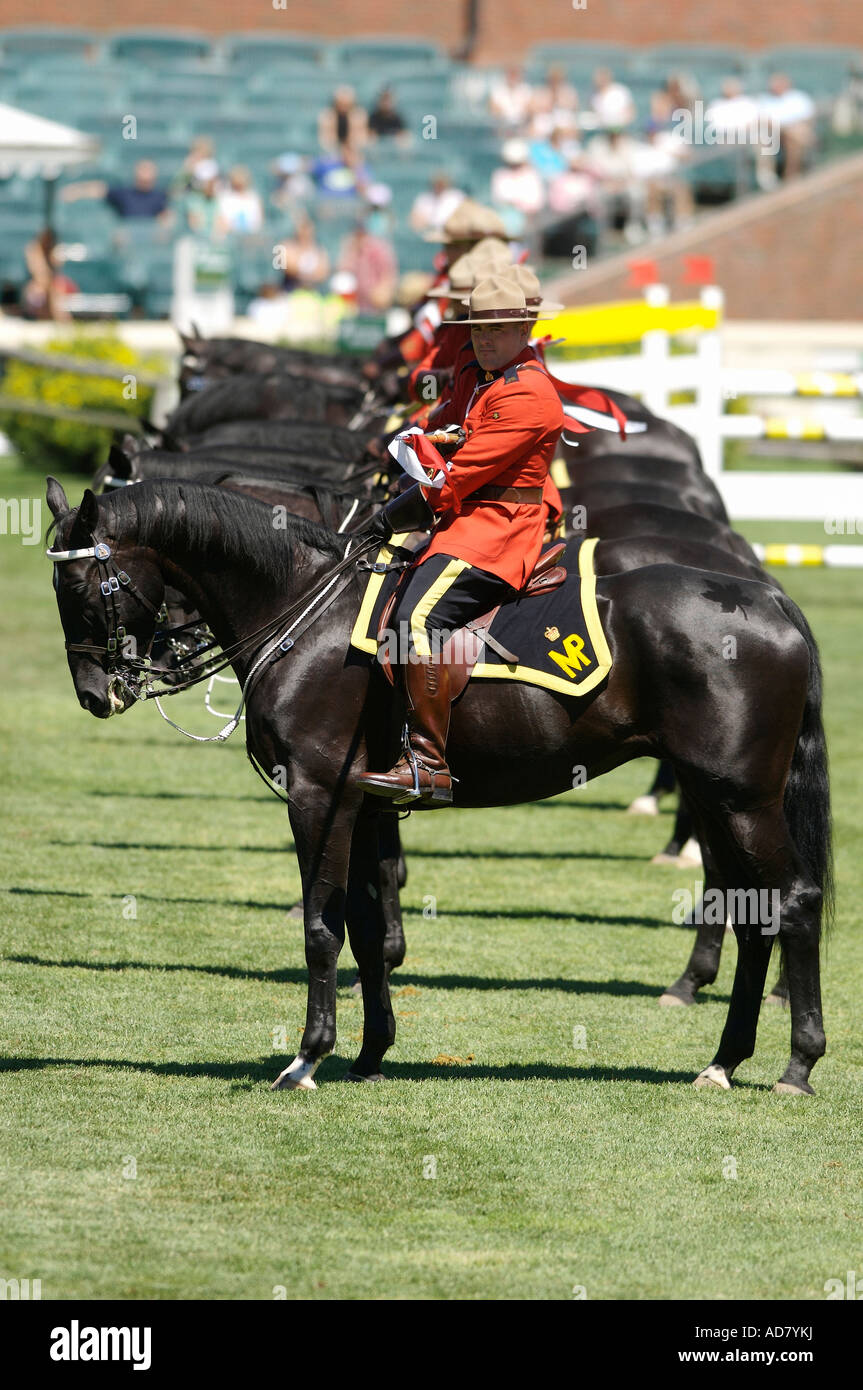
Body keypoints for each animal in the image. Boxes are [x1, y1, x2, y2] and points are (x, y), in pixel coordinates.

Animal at [45, 483, 828, 1100]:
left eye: (80, 589)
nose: (92, 694)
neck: (306, 614)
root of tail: (765, 596)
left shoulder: (317, 798)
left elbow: (322, 928)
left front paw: (308, 1057)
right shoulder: (365, 809)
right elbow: (367, 930)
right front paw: (370, 1053)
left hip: (741, 799)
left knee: (792, 902)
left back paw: (796, 1064)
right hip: (712, 796)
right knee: (748, 911)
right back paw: (724, 1060)